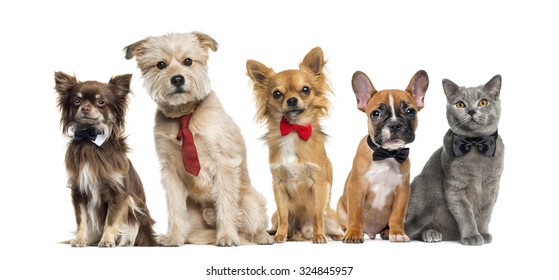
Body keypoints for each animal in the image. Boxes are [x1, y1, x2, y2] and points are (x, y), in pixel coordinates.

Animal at [55, 71, 158, 246]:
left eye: (101, 102)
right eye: (77, 101)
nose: (85, 108)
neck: (89, 140)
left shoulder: (119, 192)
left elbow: (111, 219)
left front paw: (107, 240)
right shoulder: (78, 190)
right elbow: (81, 220)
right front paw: (80, 239)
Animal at [127, 32, 276, 246]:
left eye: (188, 61)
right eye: (161, 65)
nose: (177, 79)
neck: (184, 115)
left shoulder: (224, 164)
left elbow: (226, 204)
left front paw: (227, 236)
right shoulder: (170, 170)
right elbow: (175, 208)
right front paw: (174, 237)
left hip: (251, 202)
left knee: (254, 226)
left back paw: (261, 237)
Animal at [247, 46, 344, 243]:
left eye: (305, 90)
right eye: (277, 94)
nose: (292, 100)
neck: (293, 131)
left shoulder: (319, 183)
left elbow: (317, 214)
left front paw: (319, 236)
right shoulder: (278, 184)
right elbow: (284, 215)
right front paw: (280, 236)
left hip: (330, 214)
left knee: (325, 220)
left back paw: (333, 235)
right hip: (274, 216)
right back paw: (283, 233)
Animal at [336, 70, 428, 243]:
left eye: (410, 112)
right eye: (376, 114)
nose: (394, 124)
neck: (388, 154)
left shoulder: (402, 191)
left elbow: (397, 215)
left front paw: (397, 232)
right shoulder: (357, 187)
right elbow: (355, 214)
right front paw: (353, 233)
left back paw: (386, 232)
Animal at [404, 74, 506, 245]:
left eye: (483, 102)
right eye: (460, 104)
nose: (471, 111)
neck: (474, 143)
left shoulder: (492, 188)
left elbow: (485, 214)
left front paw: (483, 233)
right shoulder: (455, 188)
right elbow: (466, 215)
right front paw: (472, 236)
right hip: (417, 193)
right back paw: (431, 233)